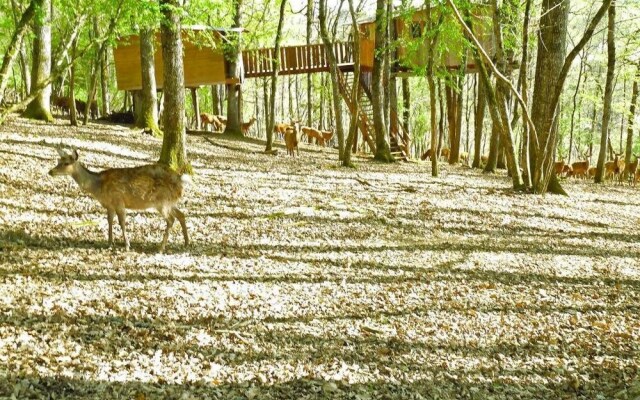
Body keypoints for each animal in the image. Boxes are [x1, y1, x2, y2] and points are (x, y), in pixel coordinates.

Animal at [47, 147, 189, 252]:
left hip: (162, 201)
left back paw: (161, 248)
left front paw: (127, 245)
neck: (97, 187)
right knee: (181, 215)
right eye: (58, 161)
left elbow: (122, 222)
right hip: (170, 202)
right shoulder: (109, 204)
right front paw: (109, 243)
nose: (50, 172)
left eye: (66, 163)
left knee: (171, 219)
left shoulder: (118, 200)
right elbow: (109, 221)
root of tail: (181, 183)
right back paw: (186, 243)